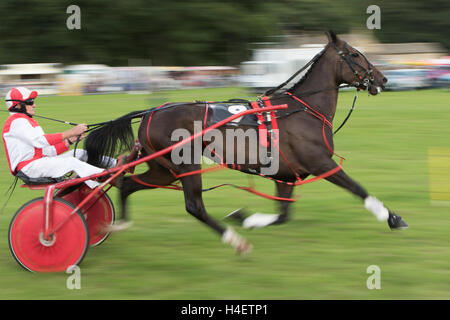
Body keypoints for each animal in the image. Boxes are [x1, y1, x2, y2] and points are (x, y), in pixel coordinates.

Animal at [83, 31, 408, 254]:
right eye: (354, 54)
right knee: (194, 206)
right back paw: (234, 241)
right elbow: (358, 189)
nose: (383, 79)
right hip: (185, 165)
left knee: (127, 183)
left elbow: (282, 215)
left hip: (163, 168)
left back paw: (118, 223)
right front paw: (392, 217)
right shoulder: (320, 163)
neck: (302, 109)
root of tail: (151, 111)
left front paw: (245, 218)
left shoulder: (286, 174)